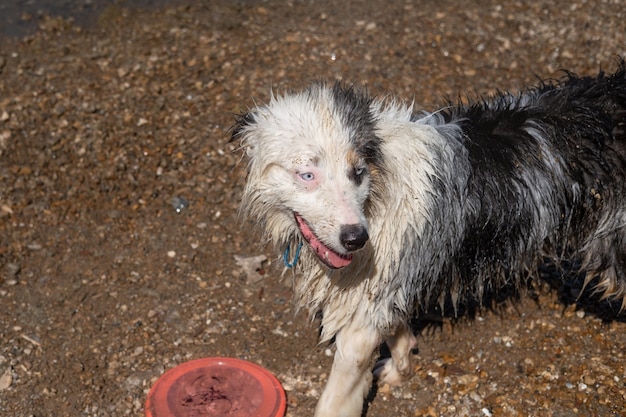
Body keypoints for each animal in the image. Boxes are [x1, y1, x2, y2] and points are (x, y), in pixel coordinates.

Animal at [230, 61, 624, 416]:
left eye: (357, 172)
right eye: (307, 175)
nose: (357, 238)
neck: (378, 194)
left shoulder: (359, 323)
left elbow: (334, 399)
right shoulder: (383, 285)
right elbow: (396, 329)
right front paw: (402, 362)